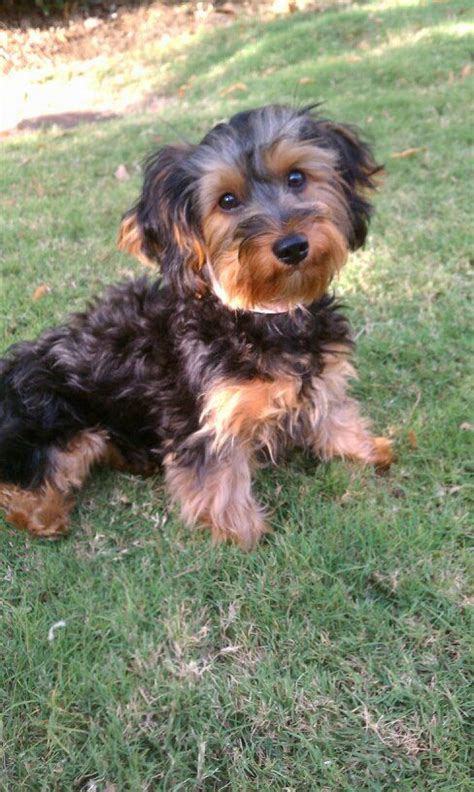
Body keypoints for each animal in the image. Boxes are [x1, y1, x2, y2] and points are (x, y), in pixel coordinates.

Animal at [0, 103, 392, 552]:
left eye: (297, 178)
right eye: (227, 201)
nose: (292, 247)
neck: (264, 314)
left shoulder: (322, 374)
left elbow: (333, 413)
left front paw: (365, 448)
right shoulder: (205, 418)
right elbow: (220, 477)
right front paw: (242, 530)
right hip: (56, 416)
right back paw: (42, 514)